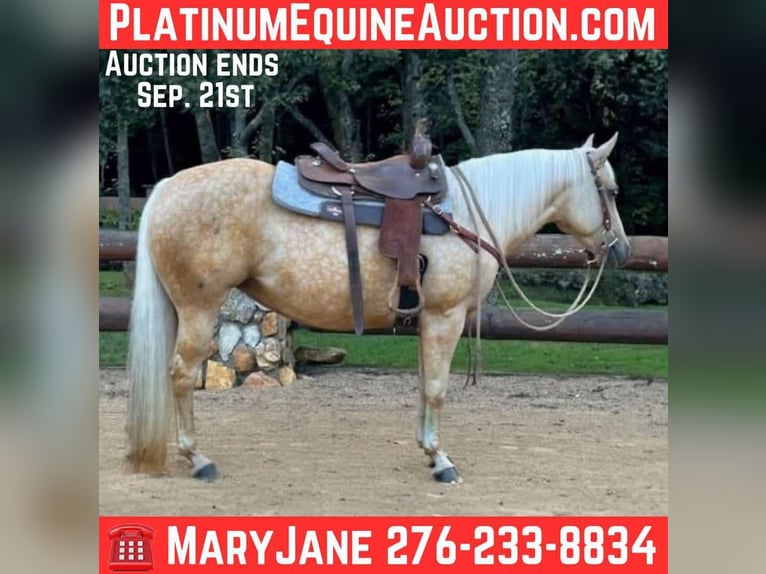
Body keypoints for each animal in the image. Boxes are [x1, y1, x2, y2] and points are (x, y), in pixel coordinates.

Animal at [126, 132, 630, 483]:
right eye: (610, 190)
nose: (622, 250)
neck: (468, 213)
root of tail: (167, 186)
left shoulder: (427, 321)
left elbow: (424, 387)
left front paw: (427, 449)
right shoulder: (444, 318)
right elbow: (437, 389)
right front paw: (441, 460)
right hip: (199, 308)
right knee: (180, 374)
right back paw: (197, 458)